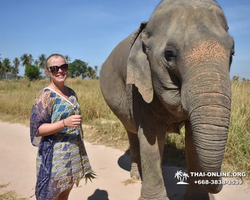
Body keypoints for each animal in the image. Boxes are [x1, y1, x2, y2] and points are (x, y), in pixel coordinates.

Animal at [99, 0, 234, 199]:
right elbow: (151, 136)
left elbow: (192, 140)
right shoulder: (140, 86)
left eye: (232, 52)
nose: (222, 182)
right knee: (132, 133)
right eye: (169, 54)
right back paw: (136, 176)